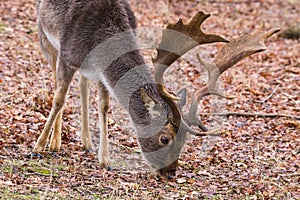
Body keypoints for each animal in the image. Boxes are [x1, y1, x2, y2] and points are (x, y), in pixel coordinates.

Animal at [34, 0, 280, 180]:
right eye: (164, 139)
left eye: (184, 140)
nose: (170, 173)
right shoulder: (67, 56)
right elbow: (59, 99)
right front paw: (38, 147)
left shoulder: (100, 72)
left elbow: (104, 106)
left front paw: (105, 159)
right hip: (45, 37)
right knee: (57, 84)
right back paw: (54, 143)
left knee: (82, 84)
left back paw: (86, 141)